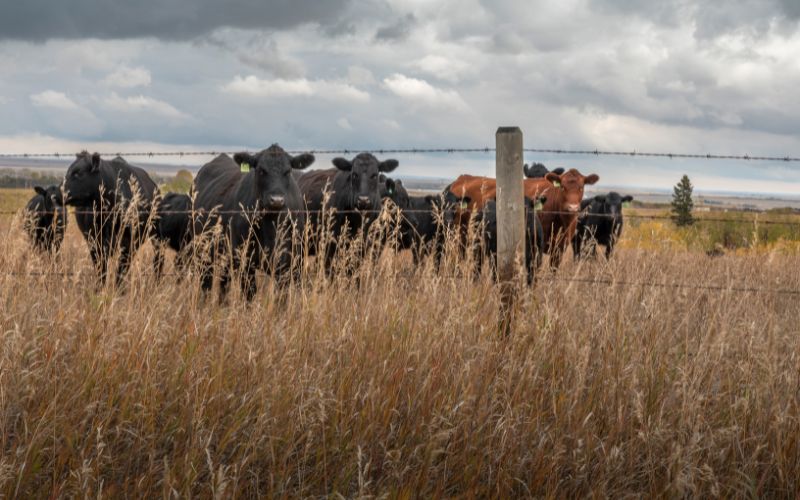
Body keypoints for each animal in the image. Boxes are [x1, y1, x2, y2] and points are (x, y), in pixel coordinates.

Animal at [65, 151, 162, 286]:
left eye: (78, 173)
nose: (60, 192)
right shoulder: (94, 242)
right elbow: (101, 271)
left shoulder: (127, 243)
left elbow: (121, 272)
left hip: (156, 234)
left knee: (158, 260)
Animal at [194, 146, 316, 298]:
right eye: (261, 170)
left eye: (288, 171)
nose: (276, 200)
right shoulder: (245, 262)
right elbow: (250, 294)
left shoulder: (291, 263)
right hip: (203, 250)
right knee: (206, 281)